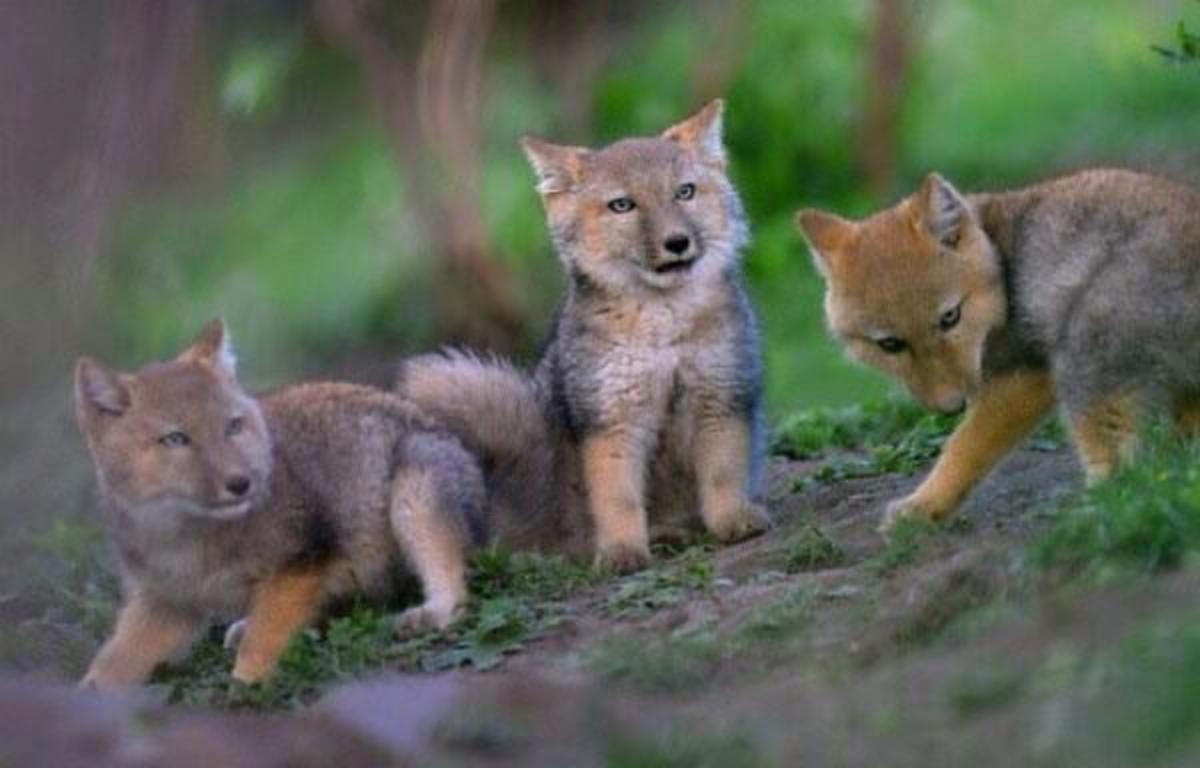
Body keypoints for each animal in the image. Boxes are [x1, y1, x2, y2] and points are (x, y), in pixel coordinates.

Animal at [74, 320, 499, 689]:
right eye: (176, 439)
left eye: (232, 426)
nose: (240, 483)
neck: (190, 538)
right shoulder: (166, 602)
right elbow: (111, 663)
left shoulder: (303, 559)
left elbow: (264, 640)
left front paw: (246, 684)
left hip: (413, 492)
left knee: (456, 592)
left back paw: (429, 614)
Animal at [398, 100, 769, 573]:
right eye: (623, 205)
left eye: (684, 192)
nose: (677, 242)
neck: (662, 333)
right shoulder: (612, 423)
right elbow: (618, 501)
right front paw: (623, 551)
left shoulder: (720, 399)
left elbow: (723, 477)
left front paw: (733, 521)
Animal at [796, 168, 1200, 531]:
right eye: (890, 344)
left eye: (950, 317)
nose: (951, 407)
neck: (1000, 258)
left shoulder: (1023, 377)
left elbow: (964, 446)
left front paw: (924, 505)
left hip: (1082, 363)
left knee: (1124, 481)